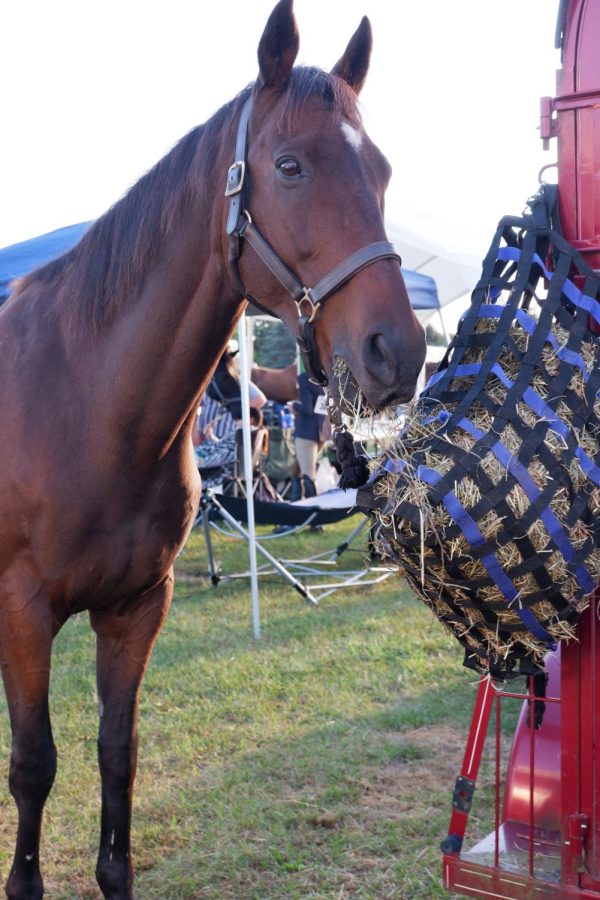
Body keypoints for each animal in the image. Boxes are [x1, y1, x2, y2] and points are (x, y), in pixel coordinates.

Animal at [0, 3, 426, 896]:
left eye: (381, 169)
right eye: (290, 165)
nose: (397, 353)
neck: (80, 399)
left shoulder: (136, 608)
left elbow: (116, 755)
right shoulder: (22, 612)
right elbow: (33, 766)